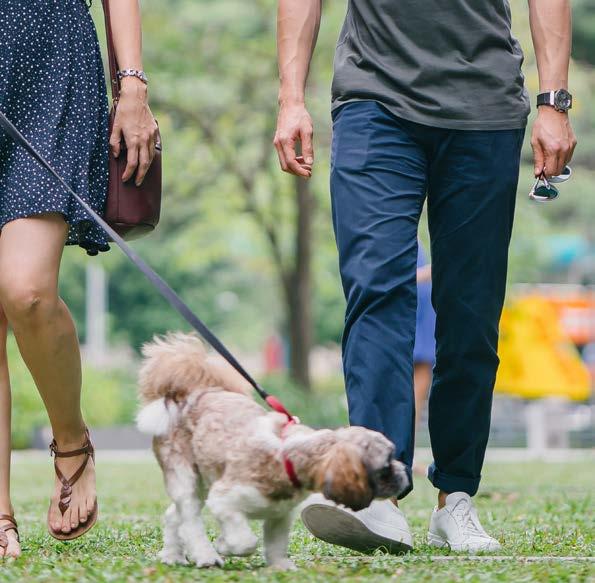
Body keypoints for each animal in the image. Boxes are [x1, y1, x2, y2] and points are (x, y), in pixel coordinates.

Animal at [139, 336, 410, 568]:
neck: (286, 455)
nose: (404, 472)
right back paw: (206, 556)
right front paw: (225, 545)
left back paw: (173, 556)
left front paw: (281, 566)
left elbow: (276, 544)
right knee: (190, 520)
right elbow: (245, 541)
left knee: (175, 515)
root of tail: (189, 395)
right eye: (386, 465)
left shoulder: (280, 516)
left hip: (203, 480)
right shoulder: (224, 499)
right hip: (185, 478)